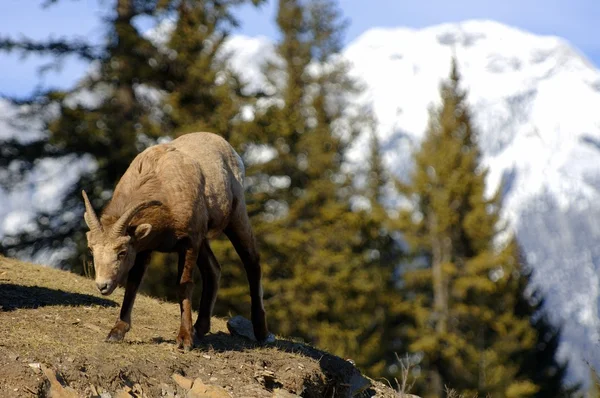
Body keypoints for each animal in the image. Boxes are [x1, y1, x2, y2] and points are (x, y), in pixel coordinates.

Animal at [82, 132, 274, 350]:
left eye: (122, 252)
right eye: (92, 250)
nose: (102, 285)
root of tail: (229, 149)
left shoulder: (188, 243)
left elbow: (184, 285)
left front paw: (184, 339)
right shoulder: (144, 248)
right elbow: (133, 284)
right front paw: (116, 332)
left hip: (236, 218)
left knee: (252, 263)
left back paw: (262, 333)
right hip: (205, 241)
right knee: (213, 270)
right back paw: (200, 328)